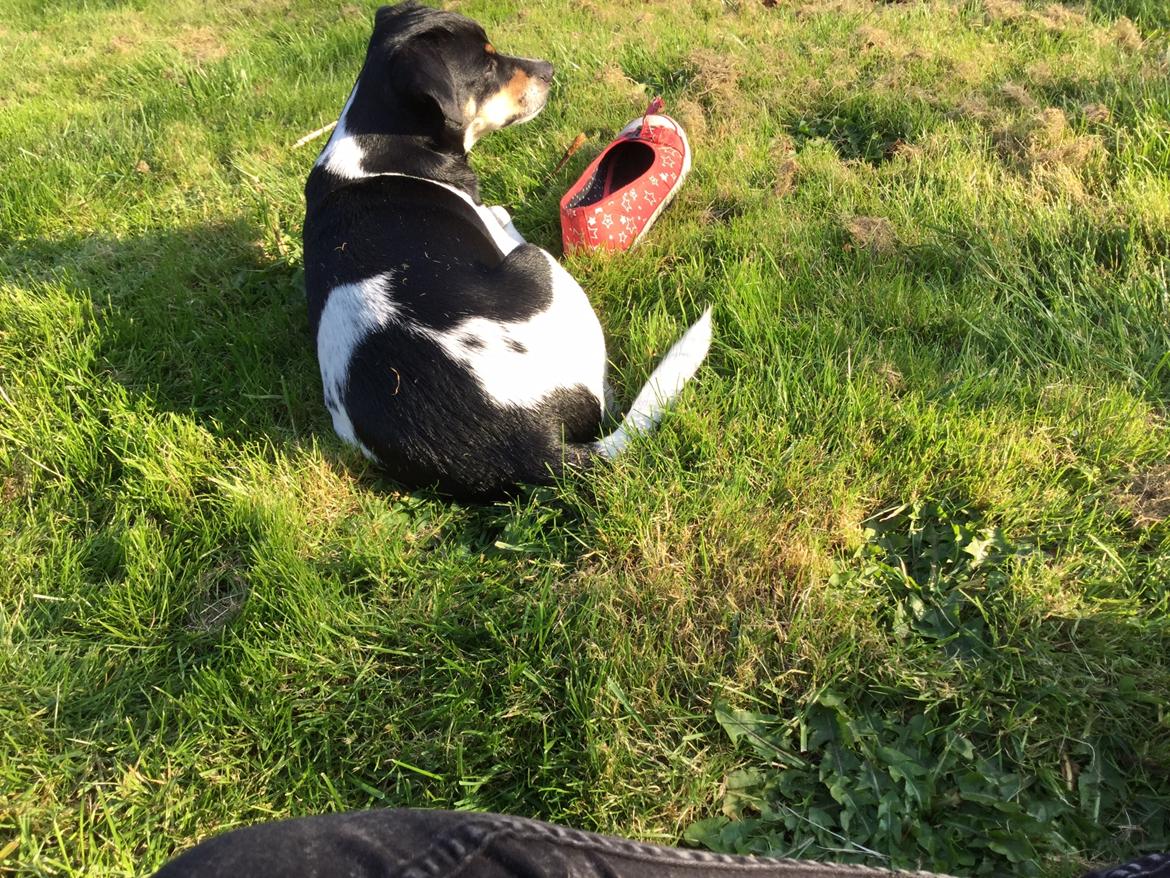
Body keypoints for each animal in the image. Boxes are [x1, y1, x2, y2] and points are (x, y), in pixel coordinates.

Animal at [301, 0, 711, 498]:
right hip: (542, 266)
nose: (550, 69)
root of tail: (528, 449)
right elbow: (497, 213)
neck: (378, 147)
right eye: (487, 65)